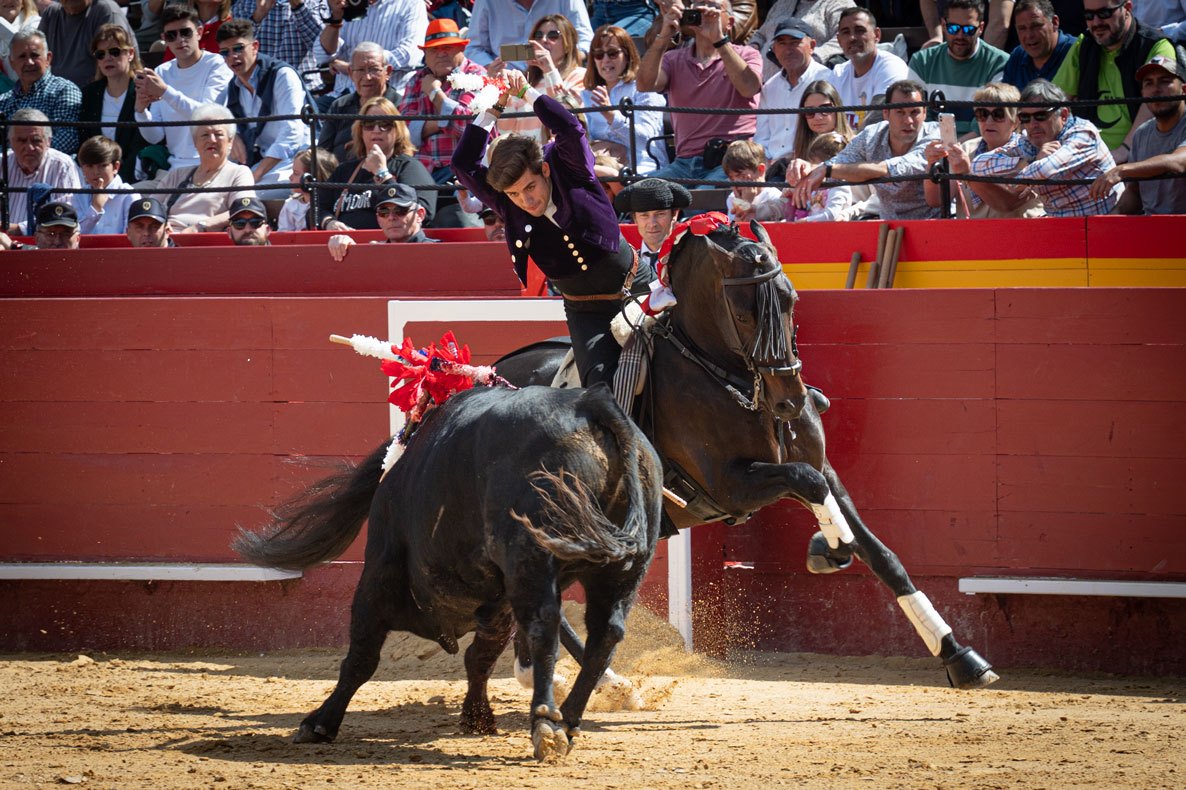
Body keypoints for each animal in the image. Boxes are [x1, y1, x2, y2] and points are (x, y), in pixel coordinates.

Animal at [233, 383, 665, 760]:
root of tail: (591, 402)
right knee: (605, 634)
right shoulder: (498, 600)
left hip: (531, 559)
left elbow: (361, 657)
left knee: (546, 626)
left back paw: (545, 723)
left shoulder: (378, 573)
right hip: (624, 568)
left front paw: (320, 723)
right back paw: (569, 721)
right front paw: (477, 718)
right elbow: (480, 656)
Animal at [494, 219, 999, 690]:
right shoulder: (731, 488)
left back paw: (572, 677)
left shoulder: (823, 467)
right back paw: (597, 681)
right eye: (742, 314)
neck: (728, 377)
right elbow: (808, 485)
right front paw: (831, 549)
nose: (791, 401)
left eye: (792, 300)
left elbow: (881, 553)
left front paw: (960, 656)